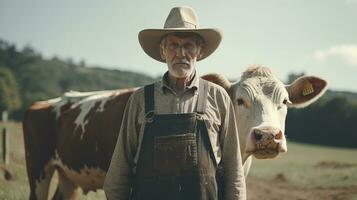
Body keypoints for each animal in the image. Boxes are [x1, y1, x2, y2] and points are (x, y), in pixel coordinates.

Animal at [23, 65, 326, 198]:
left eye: (284, 102)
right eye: (240, 100)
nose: (268, 135)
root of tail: (48, 102)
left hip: (68, 176)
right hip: (38, 170)